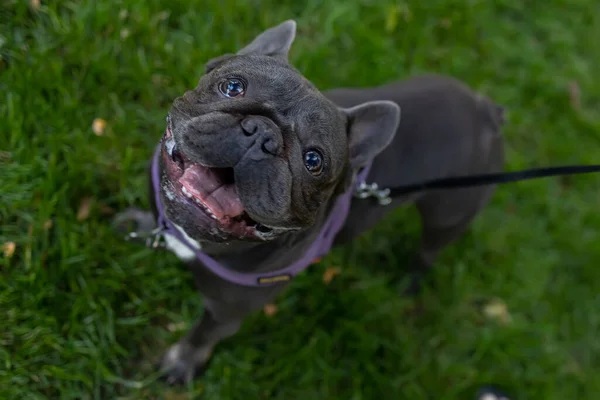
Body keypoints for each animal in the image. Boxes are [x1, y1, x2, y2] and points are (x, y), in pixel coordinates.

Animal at [113, 19, 506, 384]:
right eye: (232, 86)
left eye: (313, 160)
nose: (262, 134)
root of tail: (487, 111)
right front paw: (142, 225)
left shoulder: (226, 311)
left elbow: (202, 335)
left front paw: (182, 362)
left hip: (447, 217)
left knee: (428, 252)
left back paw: (408, 285)